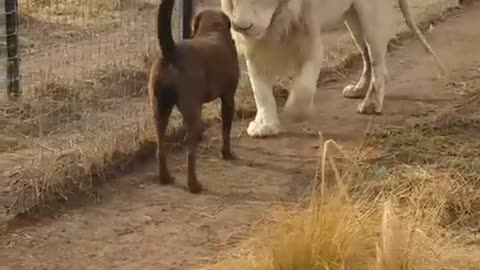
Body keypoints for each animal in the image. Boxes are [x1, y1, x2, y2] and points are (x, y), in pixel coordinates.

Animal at [148, 0, 240, 194]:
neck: (212, 30)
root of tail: (171, 52)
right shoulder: (228, 98)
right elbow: (226, 130)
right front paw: (226, 153)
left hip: (159, 108)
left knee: (160, 146)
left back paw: (165, 178)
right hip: (190, 110)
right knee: (191, 154)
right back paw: (194, 185)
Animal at [221, 0, 446, 137]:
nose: (240, 26)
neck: (278, 21)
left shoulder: (310, 39)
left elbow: (304, 86)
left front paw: (296, 113)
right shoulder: (255, 49)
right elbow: (260, 91)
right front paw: (264, 125)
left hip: (371, 16)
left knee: (378, 64)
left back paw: (371, 103)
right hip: (352, 20)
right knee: (367, 57)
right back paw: (359, 90)